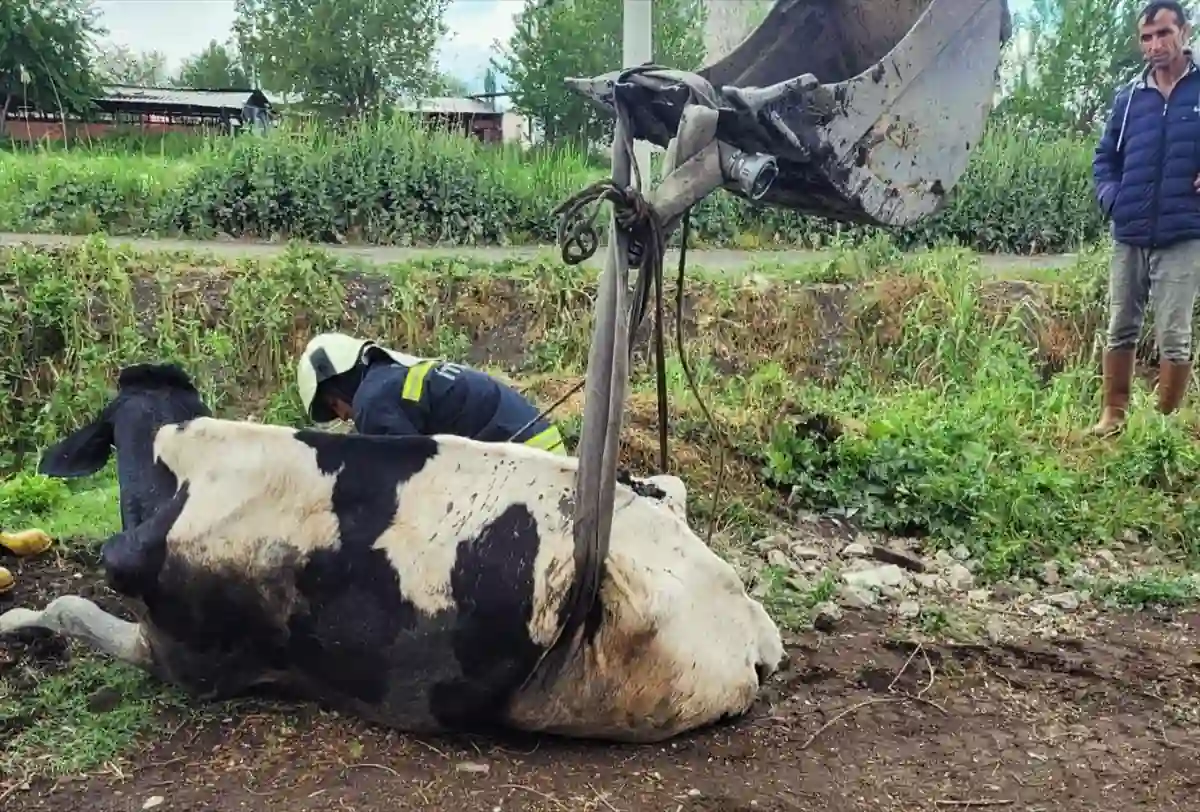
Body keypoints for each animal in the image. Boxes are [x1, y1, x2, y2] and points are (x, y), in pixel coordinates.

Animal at [0, 364, 782, 743]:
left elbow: (66, 604)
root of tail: (742, 621)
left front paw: (15, 625)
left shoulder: (184, 661)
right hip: (664, 491)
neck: (178, 474)